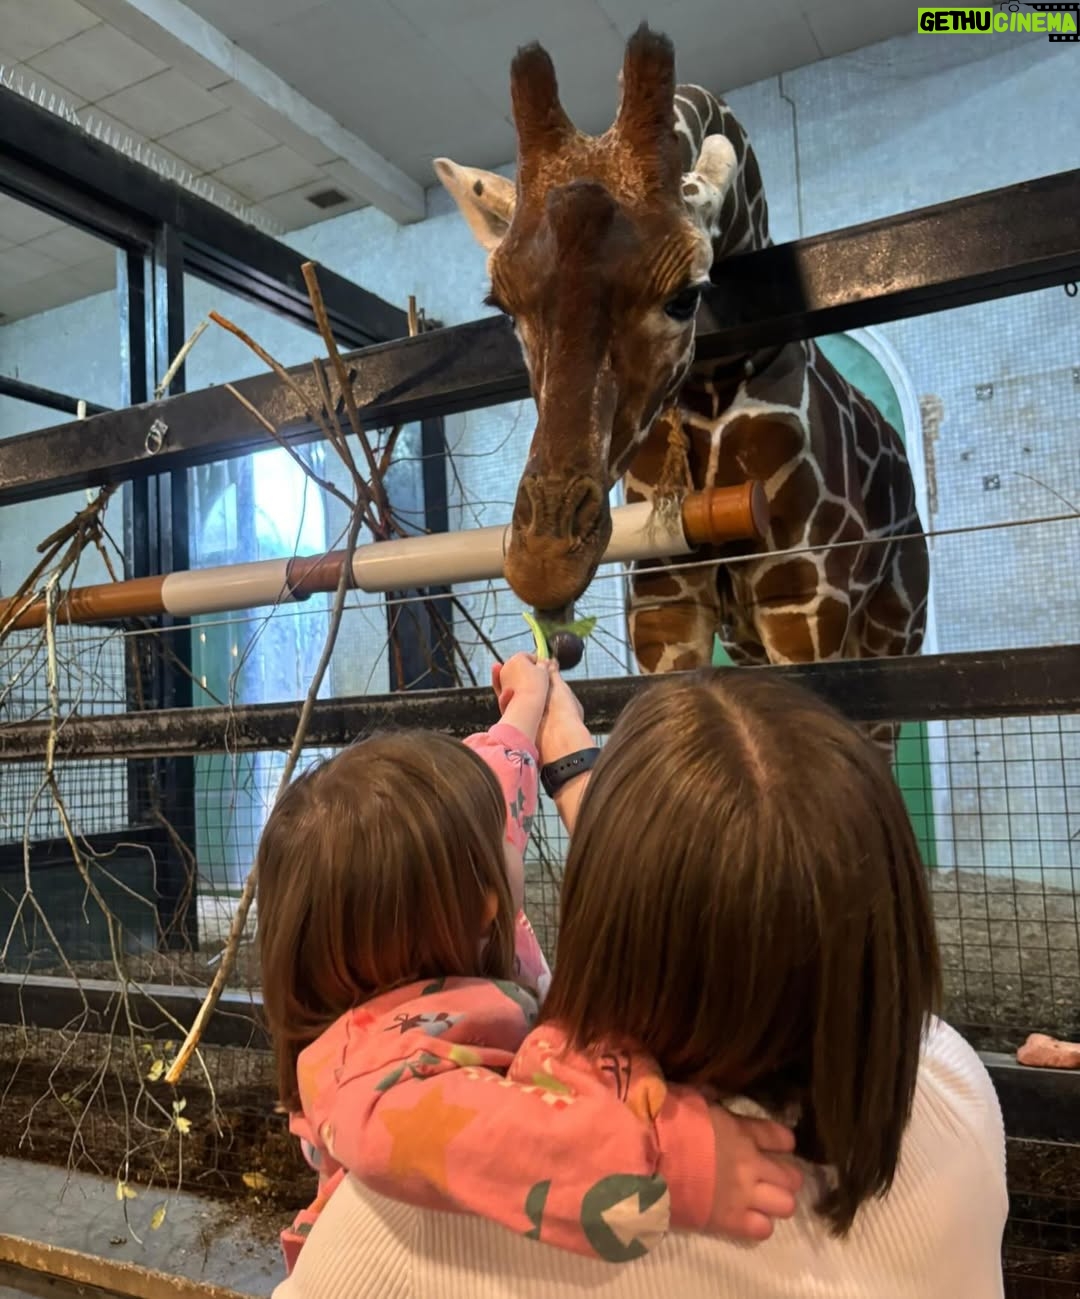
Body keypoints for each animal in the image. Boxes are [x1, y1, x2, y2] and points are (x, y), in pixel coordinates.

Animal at [435, 25, 928, 752]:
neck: (710, 391)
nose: (544, 561)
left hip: (895, 626)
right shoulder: (665, 604)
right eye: (503, 304)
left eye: (685, 295)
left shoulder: (806, 601)